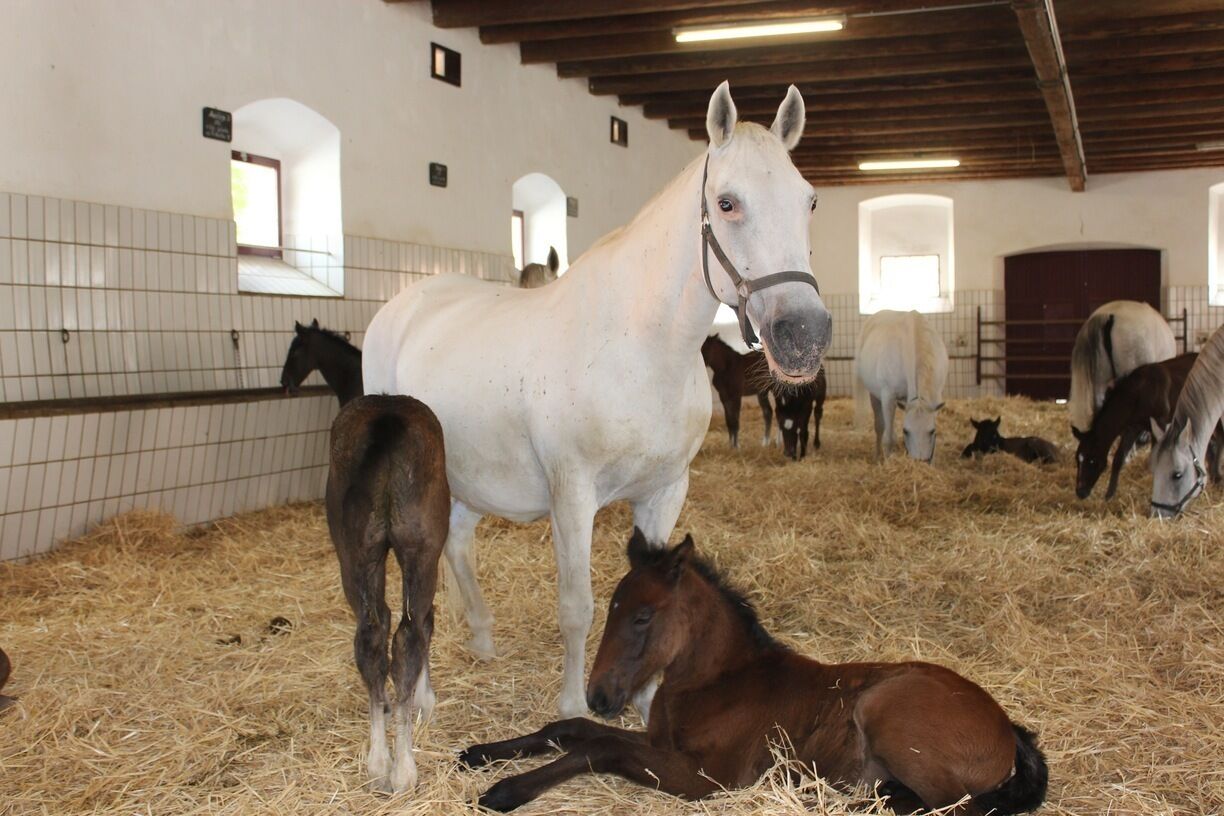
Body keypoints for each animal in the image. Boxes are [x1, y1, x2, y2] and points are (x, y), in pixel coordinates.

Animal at [325, 395, 450, 792]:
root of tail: (386, 421)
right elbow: (426, 624)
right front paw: (425, 700)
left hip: (356, 552)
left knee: (371, 635)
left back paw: (379, 761)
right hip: (420, 551)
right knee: (409, 634)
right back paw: (403, 769)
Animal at [362, 82, 831, 718]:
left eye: (809, 202)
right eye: (728, 203)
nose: (803, 334)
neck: (639, 347)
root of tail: (402, 306)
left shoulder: (664, 492)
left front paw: (649, 702)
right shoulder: (573, 496)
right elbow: (576, 608)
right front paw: (571, 706)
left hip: (466, 476)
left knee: (456, 545)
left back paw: (481, 637)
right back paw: (424, 695)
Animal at [460, 531, 1048, 815]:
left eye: (643, 616)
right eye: (612, 608)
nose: (600, 695)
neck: (716, 683)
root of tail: (1008, 728)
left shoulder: (702, 777)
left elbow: (595, 748)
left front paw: (505, 791)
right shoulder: (660, 743)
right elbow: (569, 730)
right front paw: (478, 754)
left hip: (885, 710)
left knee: (955, 809)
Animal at [855, 310, 948, 462]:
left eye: (931, 431)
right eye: (906, 431)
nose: (919, 463)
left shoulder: (936, 397)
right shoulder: (888, 398)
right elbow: (889, 438)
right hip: (875, 396)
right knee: (879, 427)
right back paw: (878, 455)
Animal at [1071, 353, 1197, 500]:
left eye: (1092, 460)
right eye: (1077, 459)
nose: (1080, 492)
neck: (1139, 393)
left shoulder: (1159, 423)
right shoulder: (1132, 428)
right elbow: (1118, 458)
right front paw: (1110, 494)